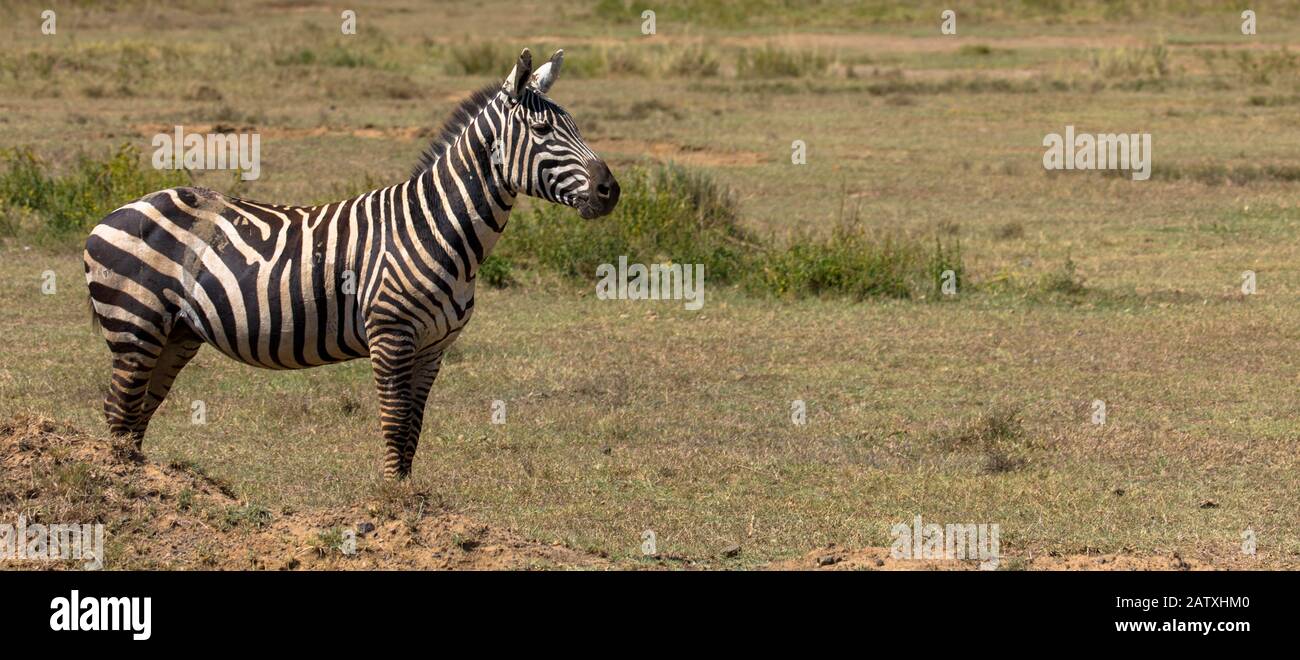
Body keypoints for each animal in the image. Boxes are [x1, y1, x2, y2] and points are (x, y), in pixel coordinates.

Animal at [83, 47, 621, 480]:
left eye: (576, 126)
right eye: (543, 130)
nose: (609, 191)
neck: (435, 228)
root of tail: (116, 212)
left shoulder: (434, 347)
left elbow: (414, 428)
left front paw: (408, 501)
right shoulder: (391, 335)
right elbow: (395, 422)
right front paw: (392, 508)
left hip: (174, 334)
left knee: (135, 415)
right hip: (134, 322)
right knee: (118, 408)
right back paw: (123, 488)